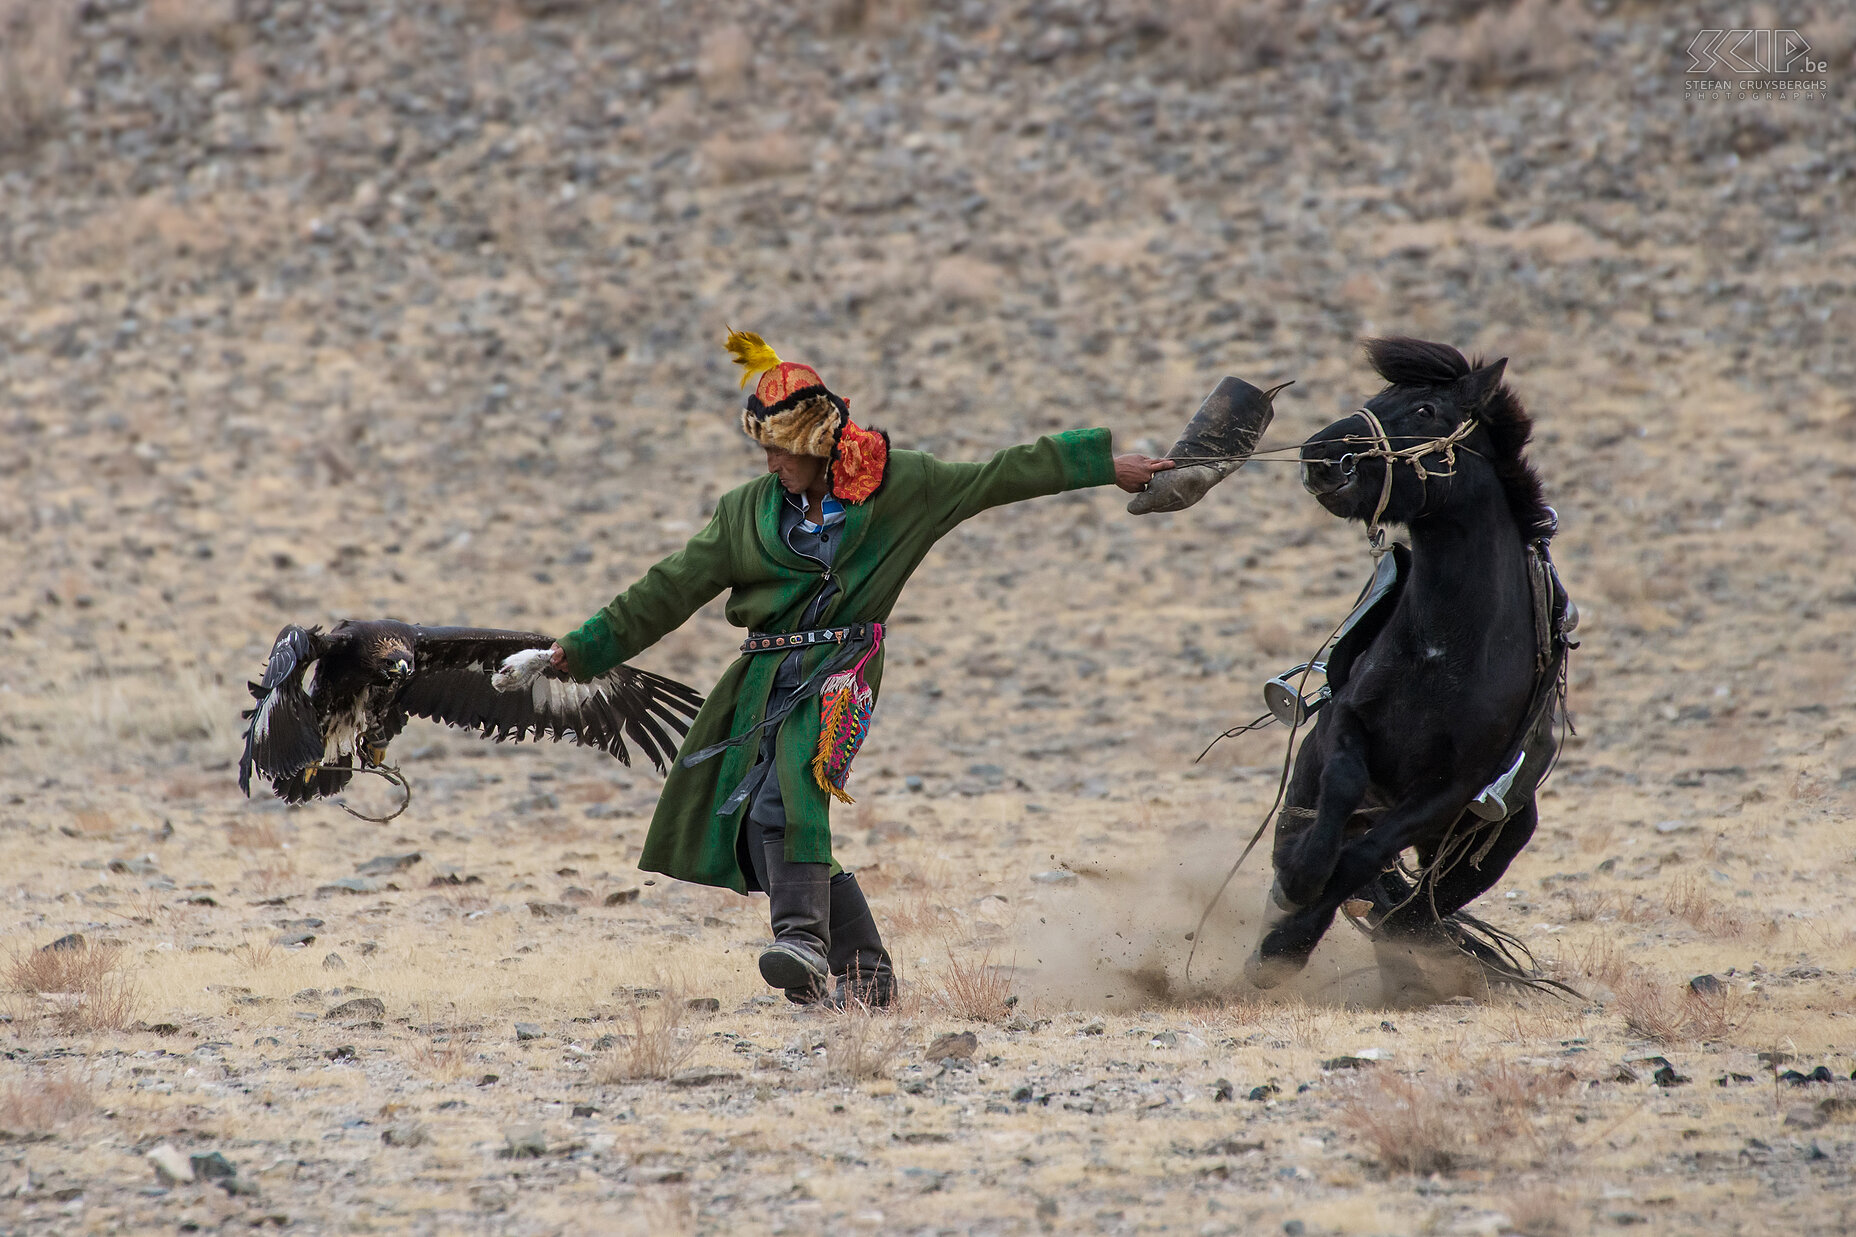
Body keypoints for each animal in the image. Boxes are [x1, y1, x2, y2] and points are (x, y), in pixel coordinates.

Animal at [1239, 338, 1573, 995]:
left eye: (1424, 410)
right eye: (1379, 396)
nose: (1321, 457)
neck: (1444, 646)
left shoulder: (1450, 790)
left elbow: (1366, 858)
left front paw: (1290, 938)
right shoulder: (1347, 726)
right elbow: (1343, 792)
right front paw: (1300, 875)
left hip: (1486, 853)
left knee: (1410, 915)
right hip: (1303, 789)